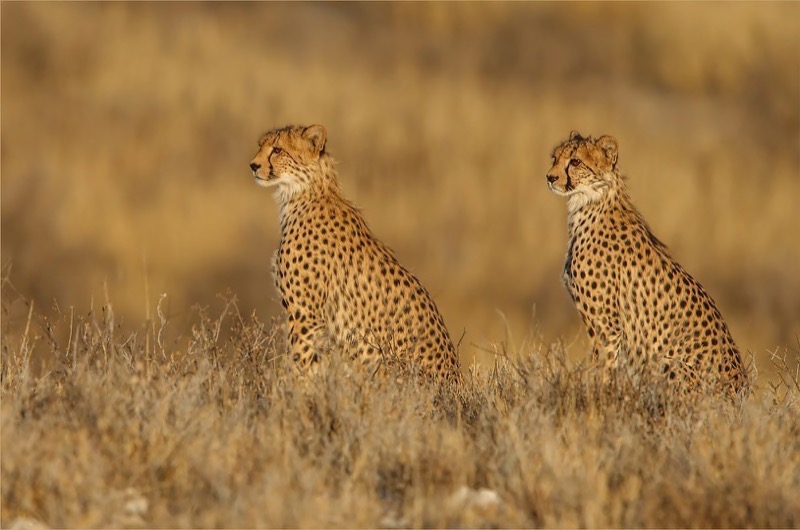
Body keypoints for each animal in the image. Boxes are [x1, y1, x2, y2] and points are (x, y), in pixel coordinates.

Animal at [249, 124, 461, 383]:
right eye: (261, 145)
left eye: (277, 150)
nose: (253, 165)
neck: (304, 193)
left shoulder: (305, 314)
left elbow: (301, 363)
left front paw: (293, 390)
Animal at [546, 130, 749, 396]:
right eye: (554, 158)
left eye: (576, 161)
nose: (550, 177)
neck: (591, 203)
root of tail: (742, 391)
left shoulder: (607, 327)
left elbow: (601, 370)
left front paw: (597, 399)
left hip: (664, 362)